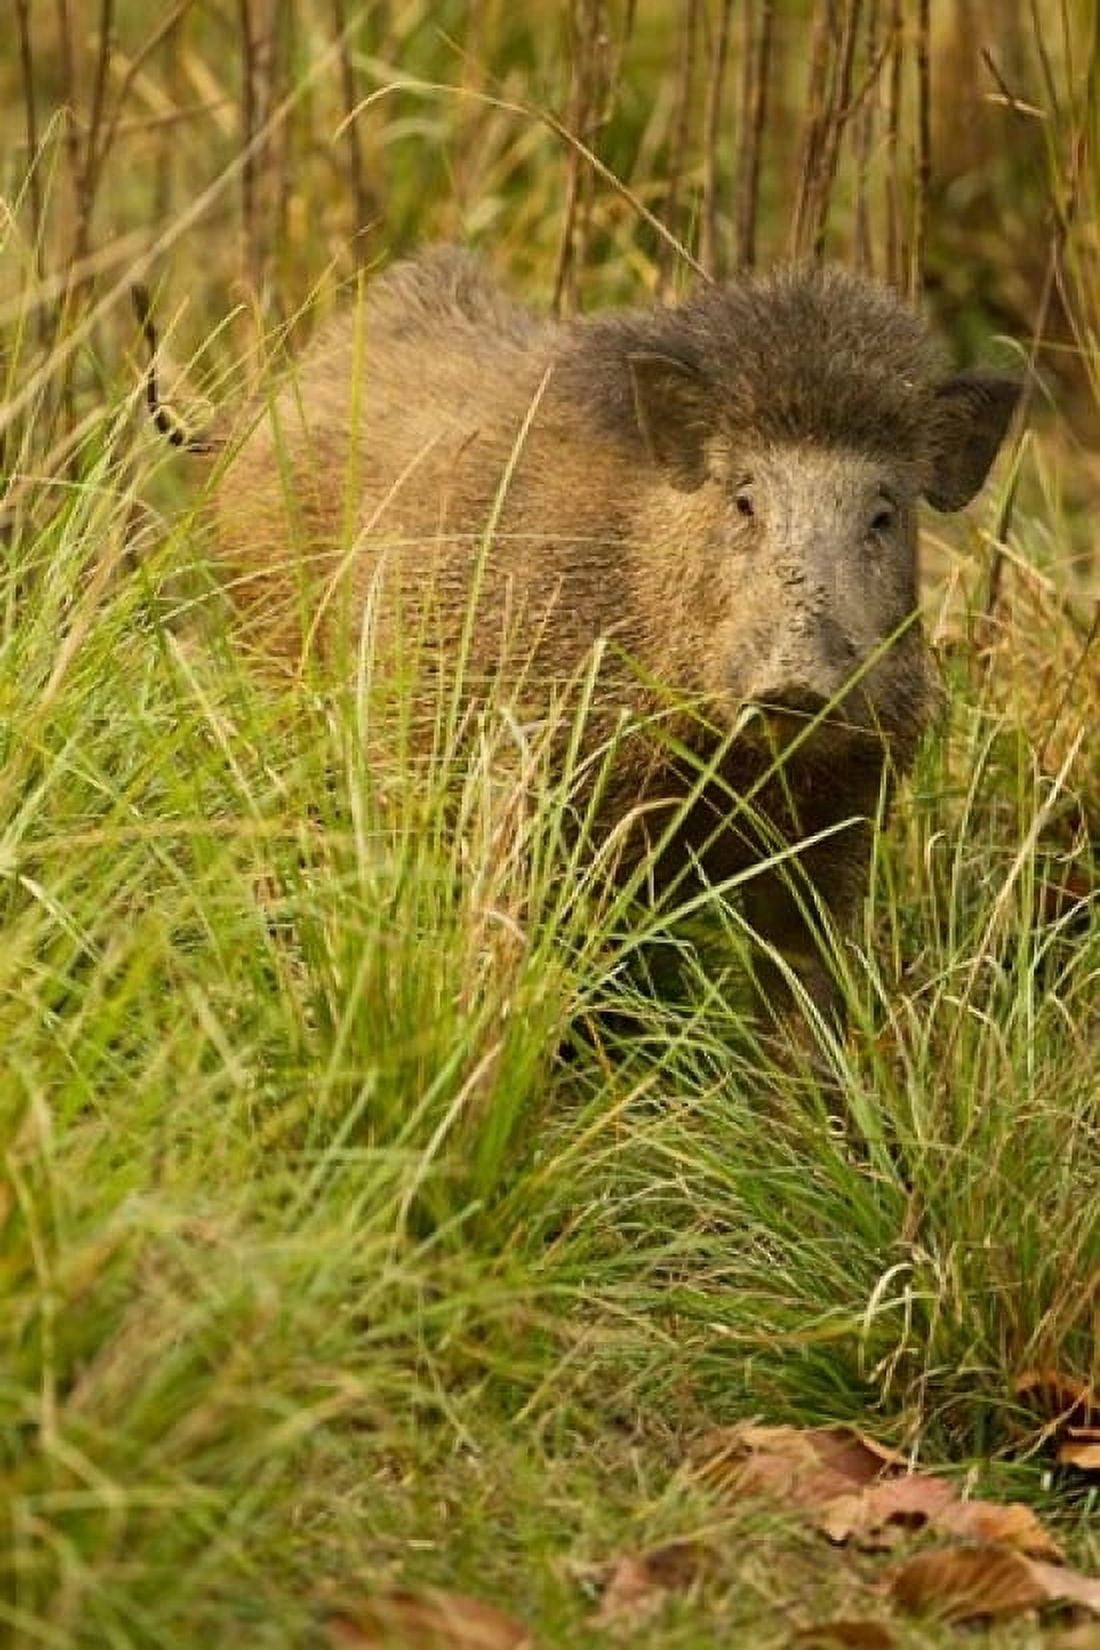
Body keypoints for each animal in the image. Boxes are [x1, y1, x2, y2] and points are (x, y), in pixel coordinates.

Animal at [157, 247, 1019, 1043]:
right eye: (742, 498)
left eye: (883, 513)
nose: (795, 683)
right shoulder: (537, 791)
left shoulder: (840, 825)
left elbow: (807, 997)